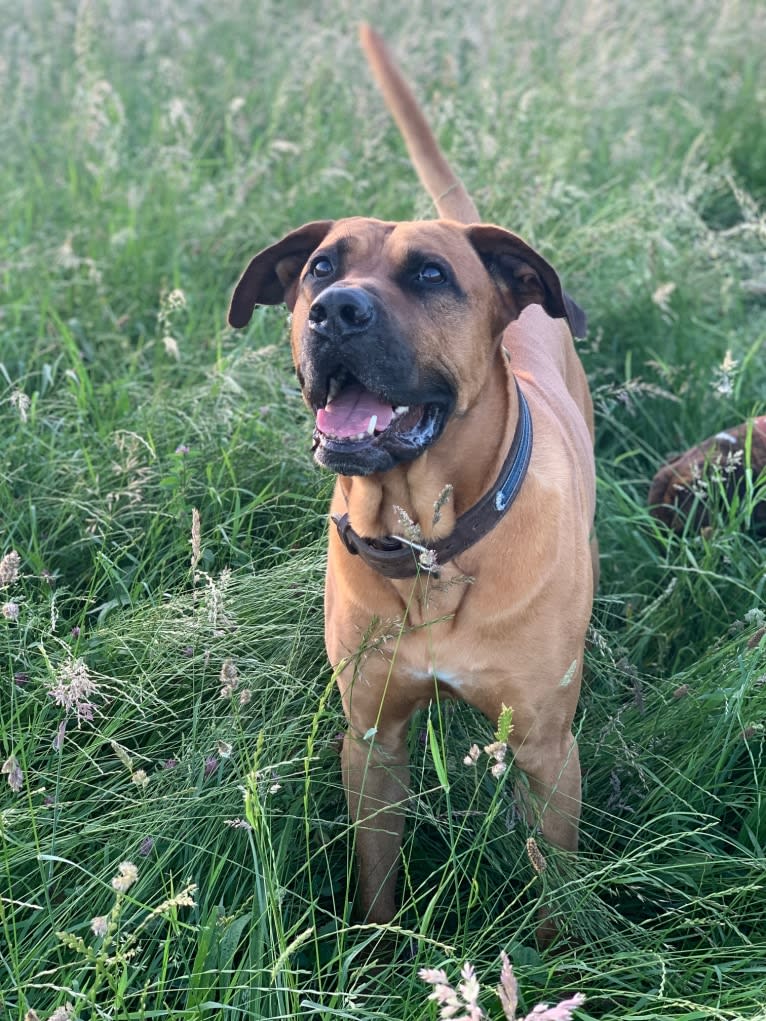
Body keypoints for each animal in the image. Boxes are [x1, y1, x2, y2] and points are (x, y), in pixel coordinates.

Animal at [227, 25, 600, 935]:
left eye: (431, 273)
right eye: (320, 269)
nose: (337, 312)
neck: (433, 543)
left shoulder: (547, 752)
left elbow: (556, 891)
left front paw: (561, 952)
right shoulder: (371, 739)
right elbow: (375, 877)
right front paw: (378, 950)